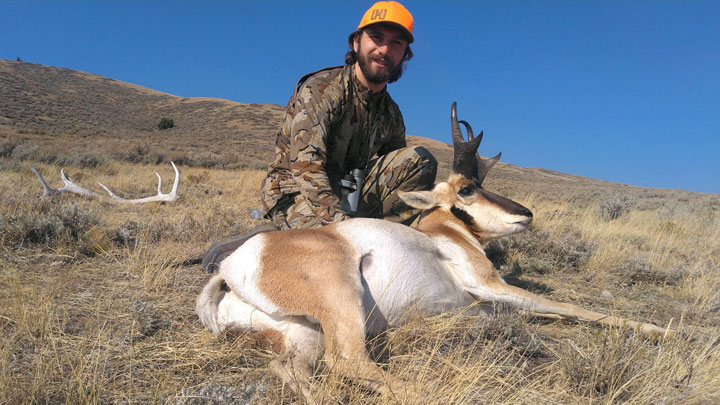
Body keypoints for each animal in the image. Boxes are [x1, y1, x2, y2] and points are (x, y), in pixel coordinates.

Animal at [195, 102, 668, 400]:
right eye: (467, 188)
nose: (526, 214)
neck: (441, 232)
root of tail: (230, 268)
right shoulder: (491, 286)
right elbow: (573, 307)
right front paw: (665, 331)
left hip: (304, 333)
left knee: (292, 370)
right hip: (342, 298)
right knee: (348, 362)